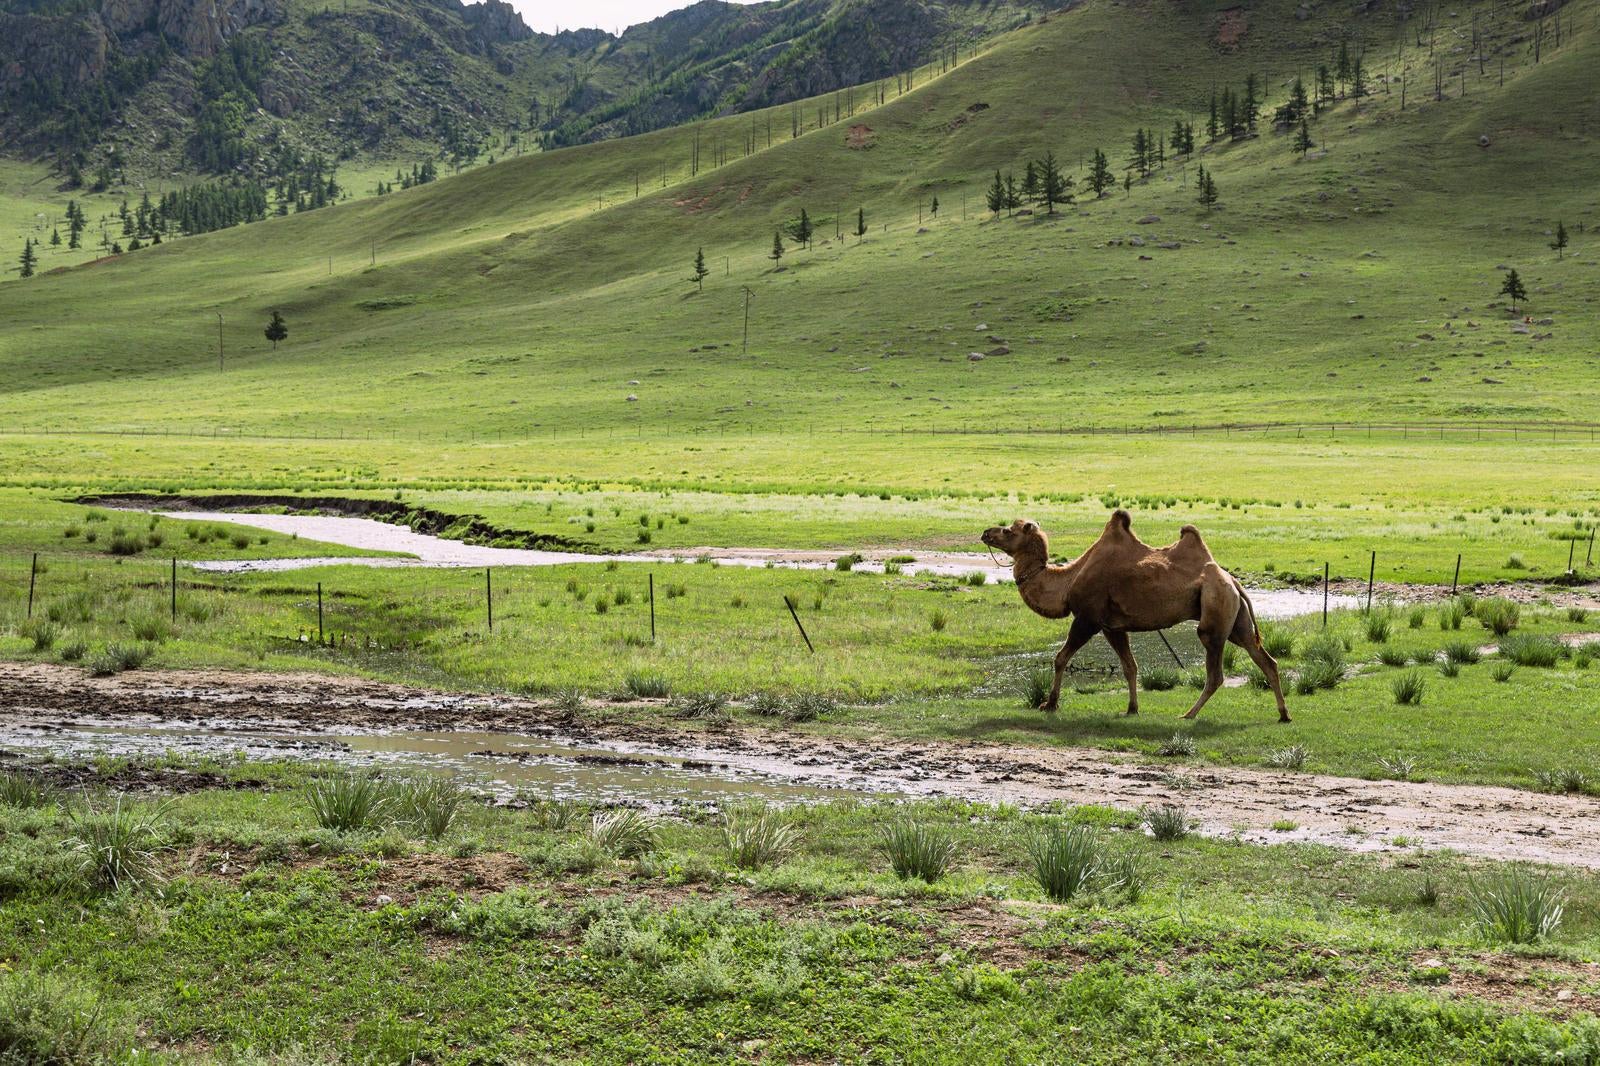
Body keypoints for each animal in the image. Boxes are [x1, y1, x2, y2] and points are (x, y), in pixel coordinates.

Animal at [979, 508, 1292, 723]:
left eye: (1008, 531)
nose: (985, 533)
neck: (1067, 582)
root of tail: (1234, 581)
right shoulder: (1112, 626)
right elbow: (1130, 666)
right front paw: (1131, 708)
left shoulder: (1088, 619)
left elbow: (1060, 658)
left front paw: (1050, 704)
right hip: (1236, 619)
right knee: (1265, 659)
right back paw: (1283, 714)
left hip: (1215, 610)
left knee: (1215, 670)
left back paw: (1188, 714)